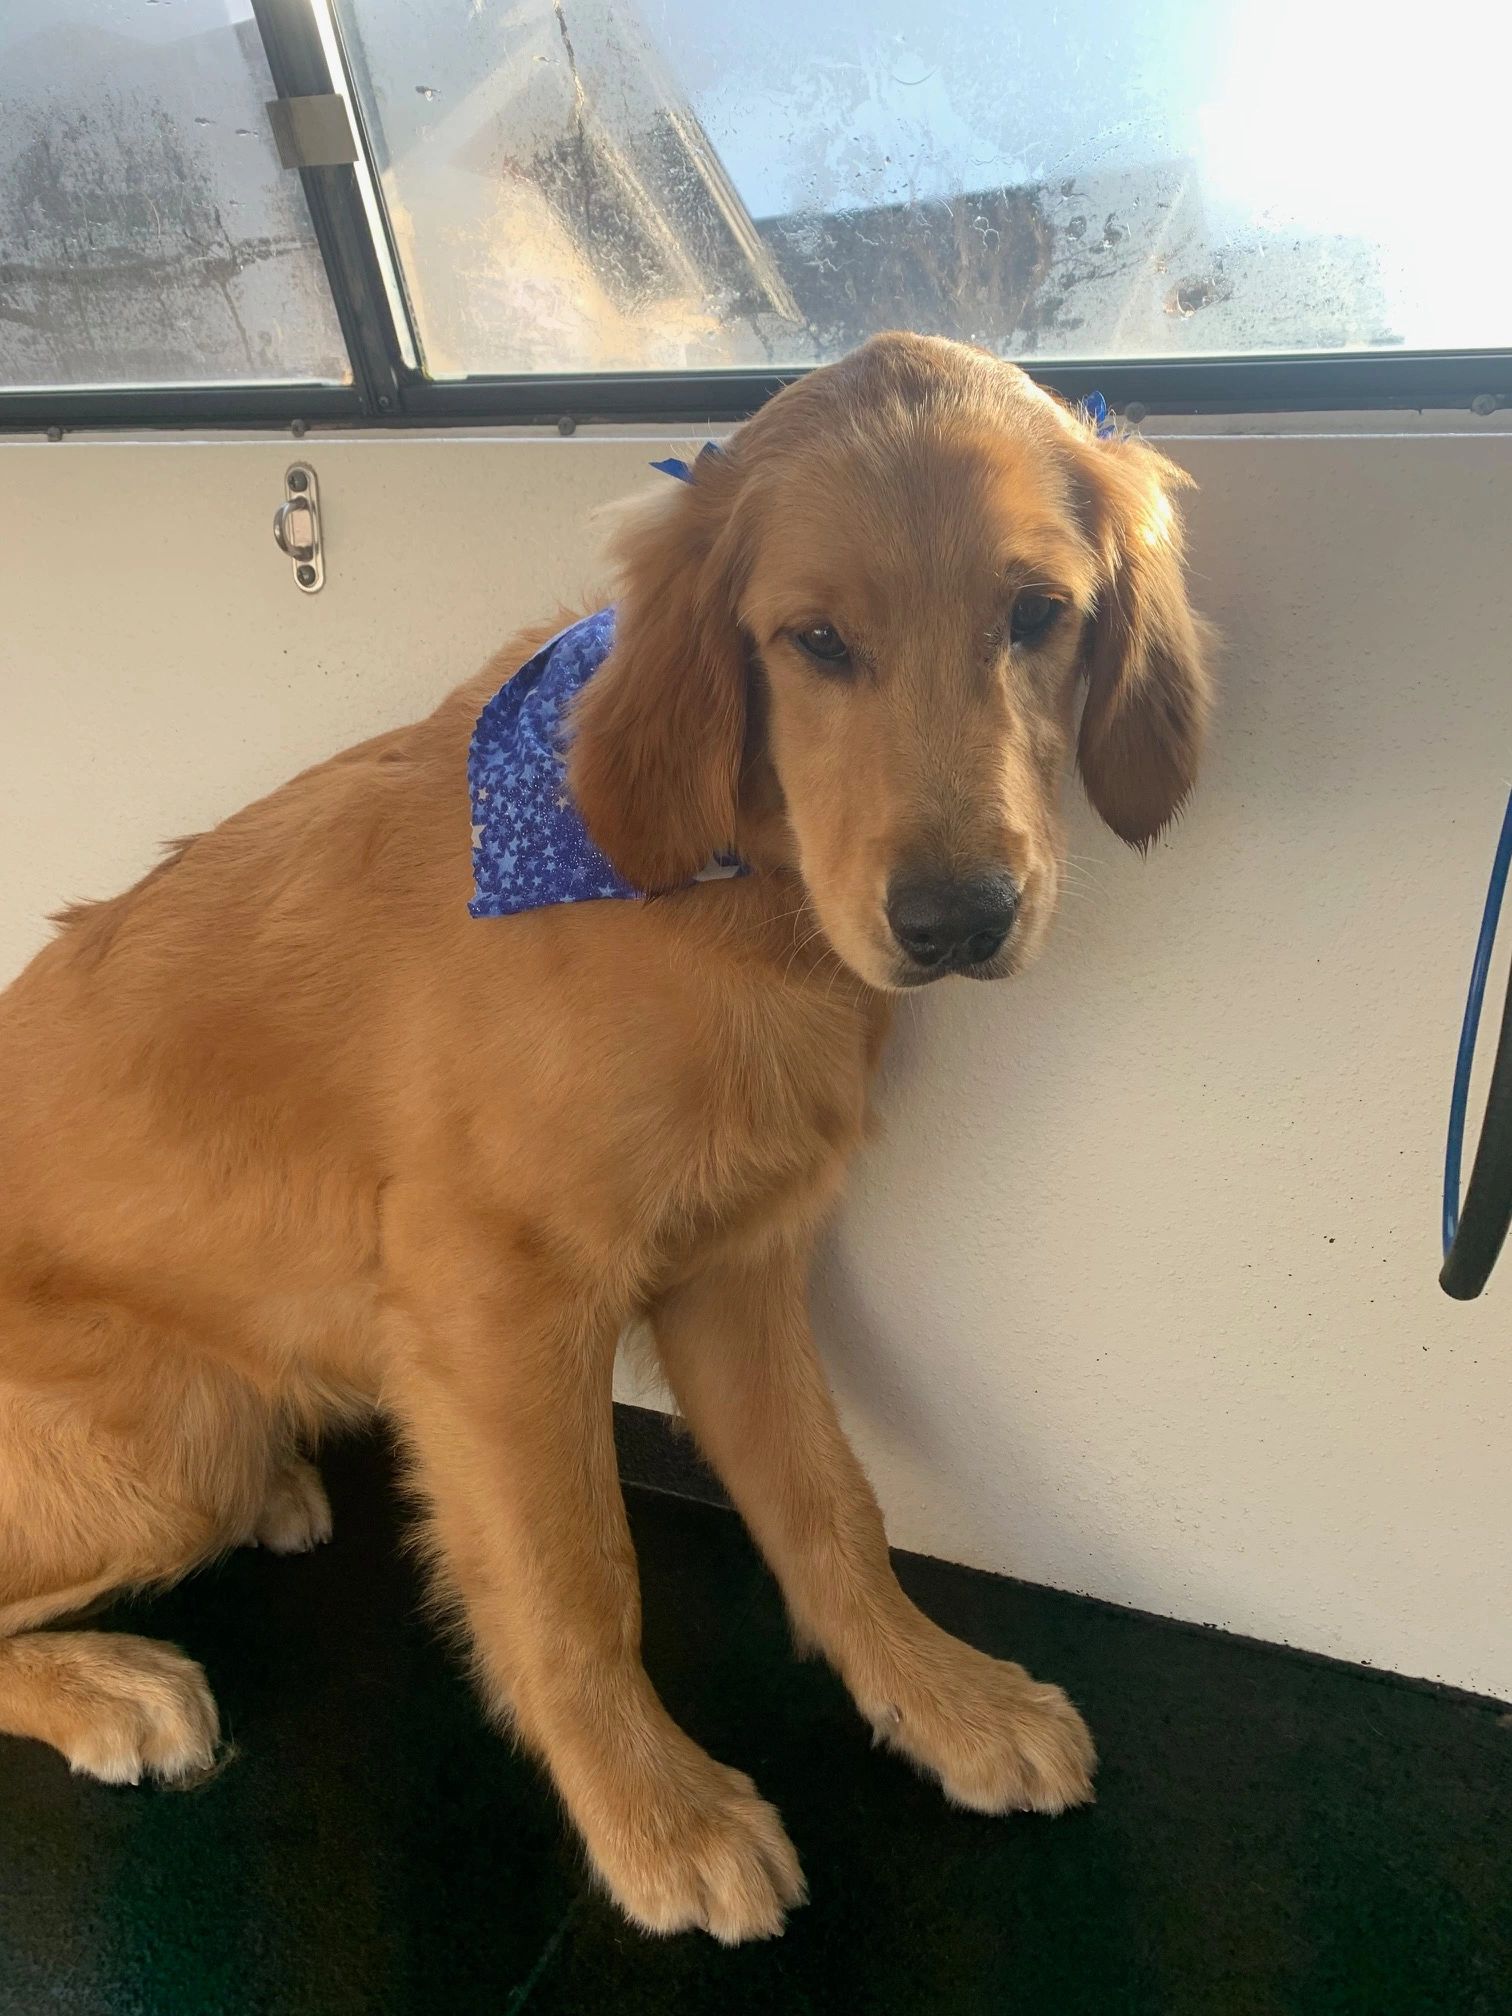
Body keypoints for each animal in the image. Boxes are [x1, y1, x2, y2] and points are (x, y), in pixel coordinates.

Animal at [0, 330, 1209, 1935]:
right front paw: (655, 1815)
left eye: (1037, 616)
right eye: (814, 641)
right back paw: (106, 1684)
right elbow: (577, 1582)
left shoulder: (738, 1265)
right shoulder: (493, 1308)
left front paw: (939, 1697)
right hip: (164, 1440)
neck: (721, 903)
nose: (958, 921)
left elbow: (831, 1504)